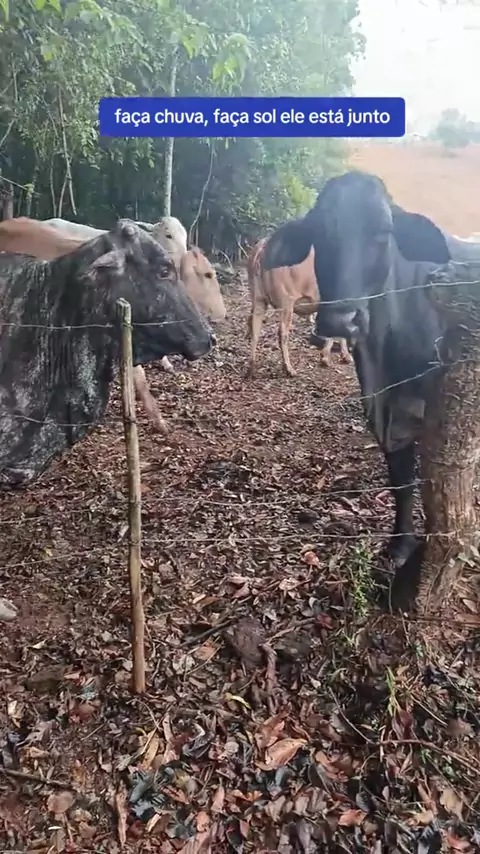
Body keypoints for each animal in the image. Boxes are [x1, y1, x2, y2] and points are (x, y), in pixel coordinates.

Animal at [246, 236, 352, 377]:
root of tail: (263, 246)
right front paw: (330, 357)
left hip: (258, 299)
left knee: (254, 328)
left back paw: (251, 368)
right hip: (286, 302)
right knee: (282, 333)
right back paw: (289, 368)